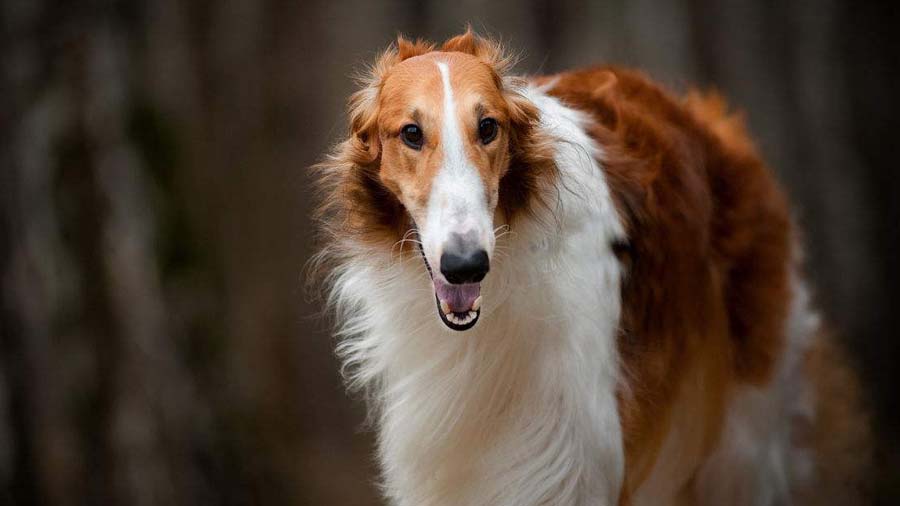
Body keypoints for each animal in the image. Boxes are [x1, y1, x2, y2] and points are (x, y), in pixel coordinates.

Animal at [314, 29, 872, 504]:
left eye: (488, 127)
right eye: (411, 133)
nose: (466, 266)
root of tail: (713, 122)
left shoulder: (572, 462)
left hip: (742, 438)